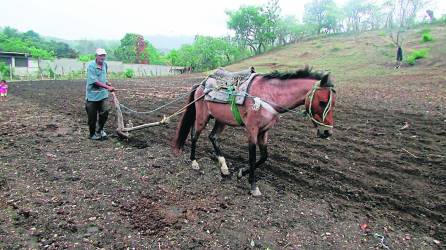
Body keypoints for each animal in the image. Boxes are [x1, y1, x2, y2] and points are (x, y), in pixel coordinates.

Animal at [172, 67, 336, 196]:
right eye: (322, 102)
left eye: (333, 103)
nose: (327, 132)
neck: (268, 95)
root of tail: (201, 84)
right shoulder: (252, 130)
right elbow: (252, 157)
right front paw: (253, 185)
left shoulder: (264, 131)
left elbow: (264, 157)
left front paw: (241, 173)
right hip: (202, 117)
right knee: (194, 135)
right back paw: (194, 162)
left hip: (221, 120)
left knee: (213, 137)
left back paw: (224, 167)